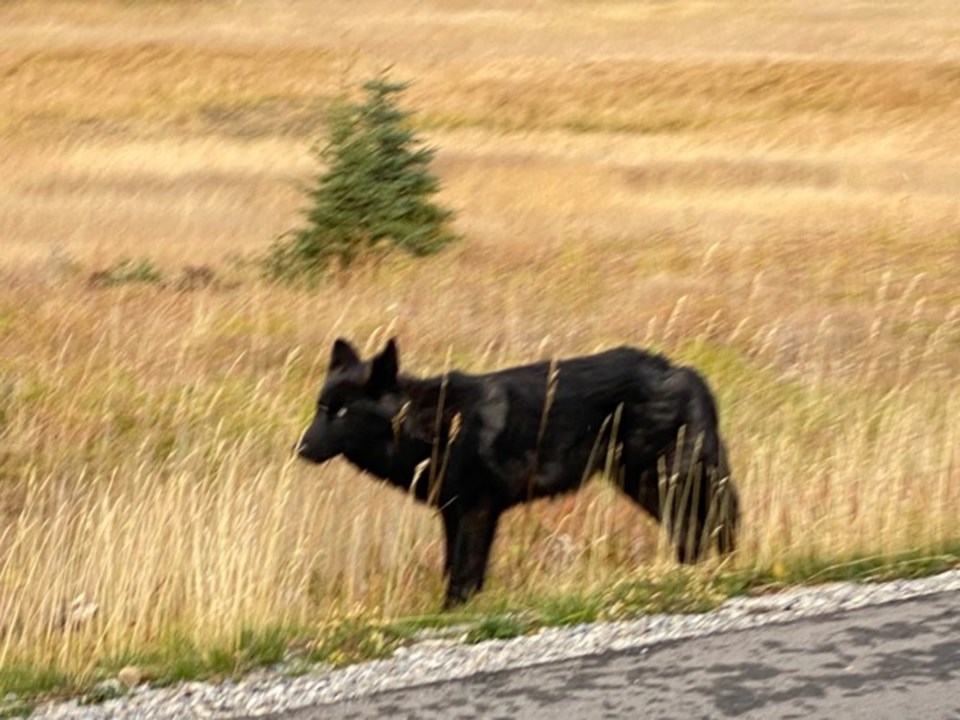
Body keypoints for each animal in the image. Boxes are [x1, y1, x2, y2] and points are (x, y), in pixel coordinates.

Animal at [296, 338, 740, 608]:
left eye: (342, 412)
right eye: (321, 408)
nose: (299, 449)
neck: (434, 427)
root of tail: (682, 370)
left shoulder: (475, 512)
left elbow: (464, 574)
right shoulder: (453, 514)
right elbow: (456, 571)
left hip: (662, 482)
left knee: (706, 526)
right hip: (650, 485)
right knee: (701, 530)